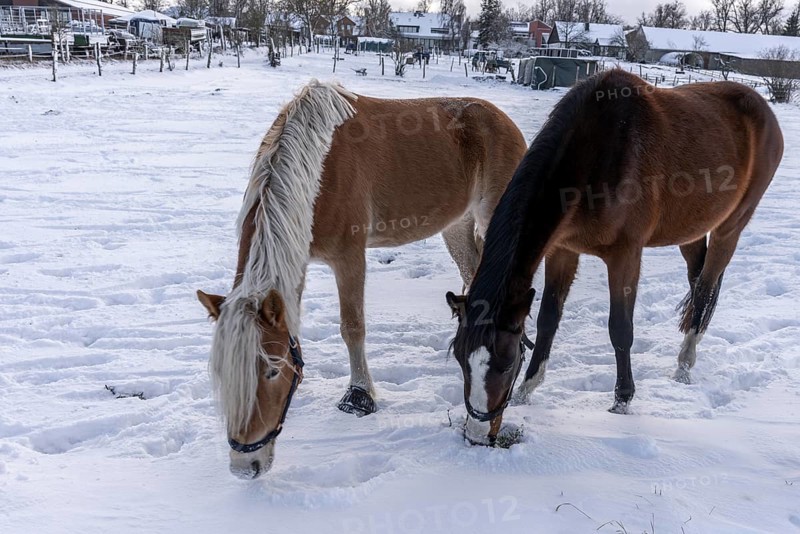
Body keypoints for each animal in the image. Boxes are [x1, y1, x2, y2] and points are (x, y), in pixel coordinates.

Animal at [197, 80, 527, 477]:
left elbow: (352, 326)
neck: (317, 168)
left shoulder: (349, 257)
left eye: (273, 371)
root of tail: (504, 120)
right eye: (221, 374)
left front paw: (359, 396)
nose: (245, 465)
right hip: (457, 225)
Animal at [446, 69, 784, 446]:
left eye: (505, 362)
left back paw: (684, 363)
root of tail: (763, 111)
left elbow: (620, 327)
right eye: (459, 358)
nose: (476, 435)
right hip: (692, 230)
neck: (596, 157)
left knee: (707, 288)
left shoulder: (625, 255)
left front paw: (622, 399)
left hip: (731, 227)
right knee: (698, 284)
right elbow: (548, 319)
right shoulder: (563, 250)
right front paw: (527, 389)